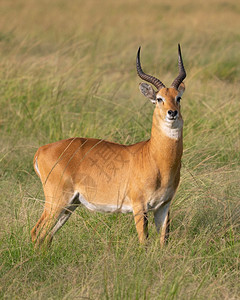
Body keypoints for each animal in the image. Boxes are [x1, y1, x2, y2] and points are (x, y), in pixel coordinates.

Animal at [31, 44, 187, 248]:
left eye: (178, 98)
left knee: (47, 236)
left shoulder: (164, 206)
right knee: (36, 232)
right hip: (57, 201)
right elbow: (143, 242)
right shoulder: (139, 206)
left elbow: (163, 241)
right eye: (159, 98)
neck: (156, 158)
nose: (172, 113)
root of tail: (41, 150)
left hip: (69, 206)